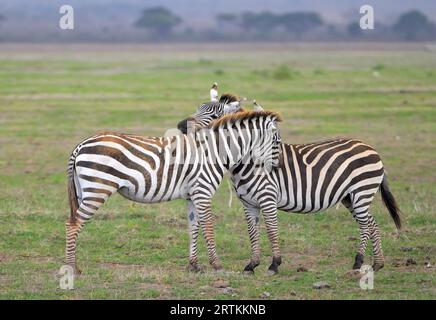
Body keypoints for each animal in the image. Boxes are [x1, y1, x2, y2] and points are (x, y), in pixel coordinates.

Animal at [64, 109, 282, 274]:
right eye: (277, 142)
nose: (277, 167)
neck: (214, 152)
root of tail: (81, 145)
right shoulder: (203, 192)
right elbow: (208, 228)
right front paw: (217, 265)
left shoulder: (193, 196)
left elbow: (193, 227)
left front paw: (194, 265)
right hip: (97, 190)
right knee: (73, 224)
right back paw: (72, 269)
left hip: (84, 191)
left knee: (73, 222)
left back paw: (75, 266)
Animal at [177, 97, 402, 272]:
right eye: (199, 108)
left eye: (215, 115)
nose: (180, 126)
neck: (249, 161)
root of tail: (370, 147)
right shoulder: (248, 203)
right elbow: (252, 232)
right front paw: (251, 265)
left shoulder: (267, 198)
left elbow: (271, 230)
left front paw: (274, 264)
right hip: (350, 197)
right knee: (370, 224)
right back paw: (372, 264)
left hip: (361, 191)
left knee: (367, 224)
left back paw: (364, 262)